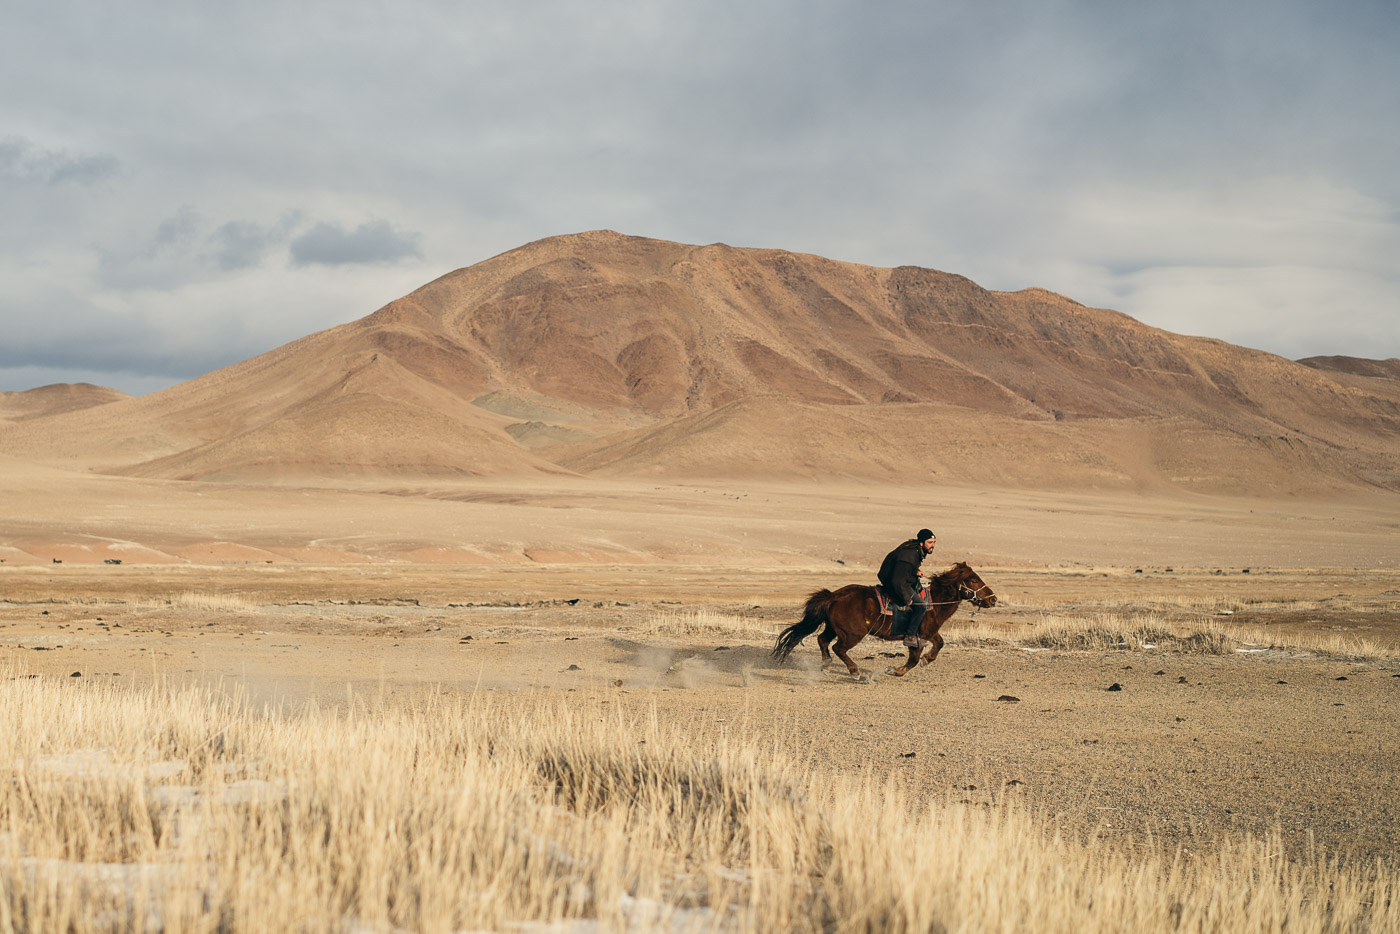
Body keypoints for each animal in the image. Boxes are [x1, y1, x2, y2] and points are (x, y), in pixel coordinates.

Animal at [767, 562, 996, 680]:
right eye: (973, 580)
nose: (993, 599)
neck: (934, 603)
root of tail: (833, 596)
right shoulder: (918, 637)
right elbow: (913, 659)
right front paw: (895, 670)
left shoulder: (930, 633)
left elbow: (939, 644)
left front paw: (927, 659)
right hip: (852, 634)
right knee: (838, 648)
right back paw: (855, 672)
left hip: (834, 628)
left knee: (823, 641)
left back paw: (826, 665)